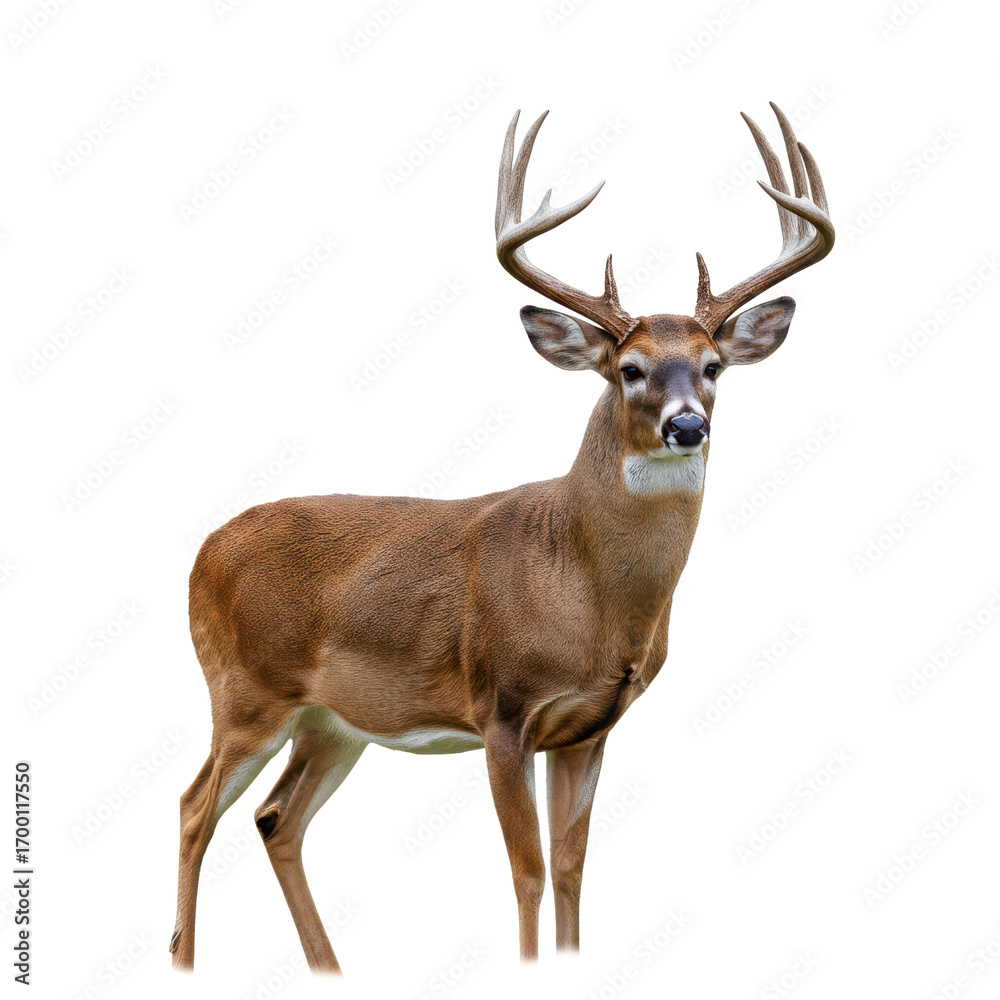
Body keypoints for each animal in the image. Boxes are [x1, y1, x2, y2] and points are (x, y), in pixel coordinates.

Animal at [170, 102, 834, 974]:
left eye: (715, 365)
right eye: (630, 369)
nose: (687, 425)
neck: (588, 594)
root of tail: (202, 550)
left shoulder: (588, 725)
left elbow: (572, 867)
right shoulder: (503, 708)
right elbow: (527, 869)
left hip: (332, 719)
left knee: (276, 818)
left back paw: (329, 967)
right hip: (244, 690)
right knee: (193, 808)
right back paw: (182, 959)